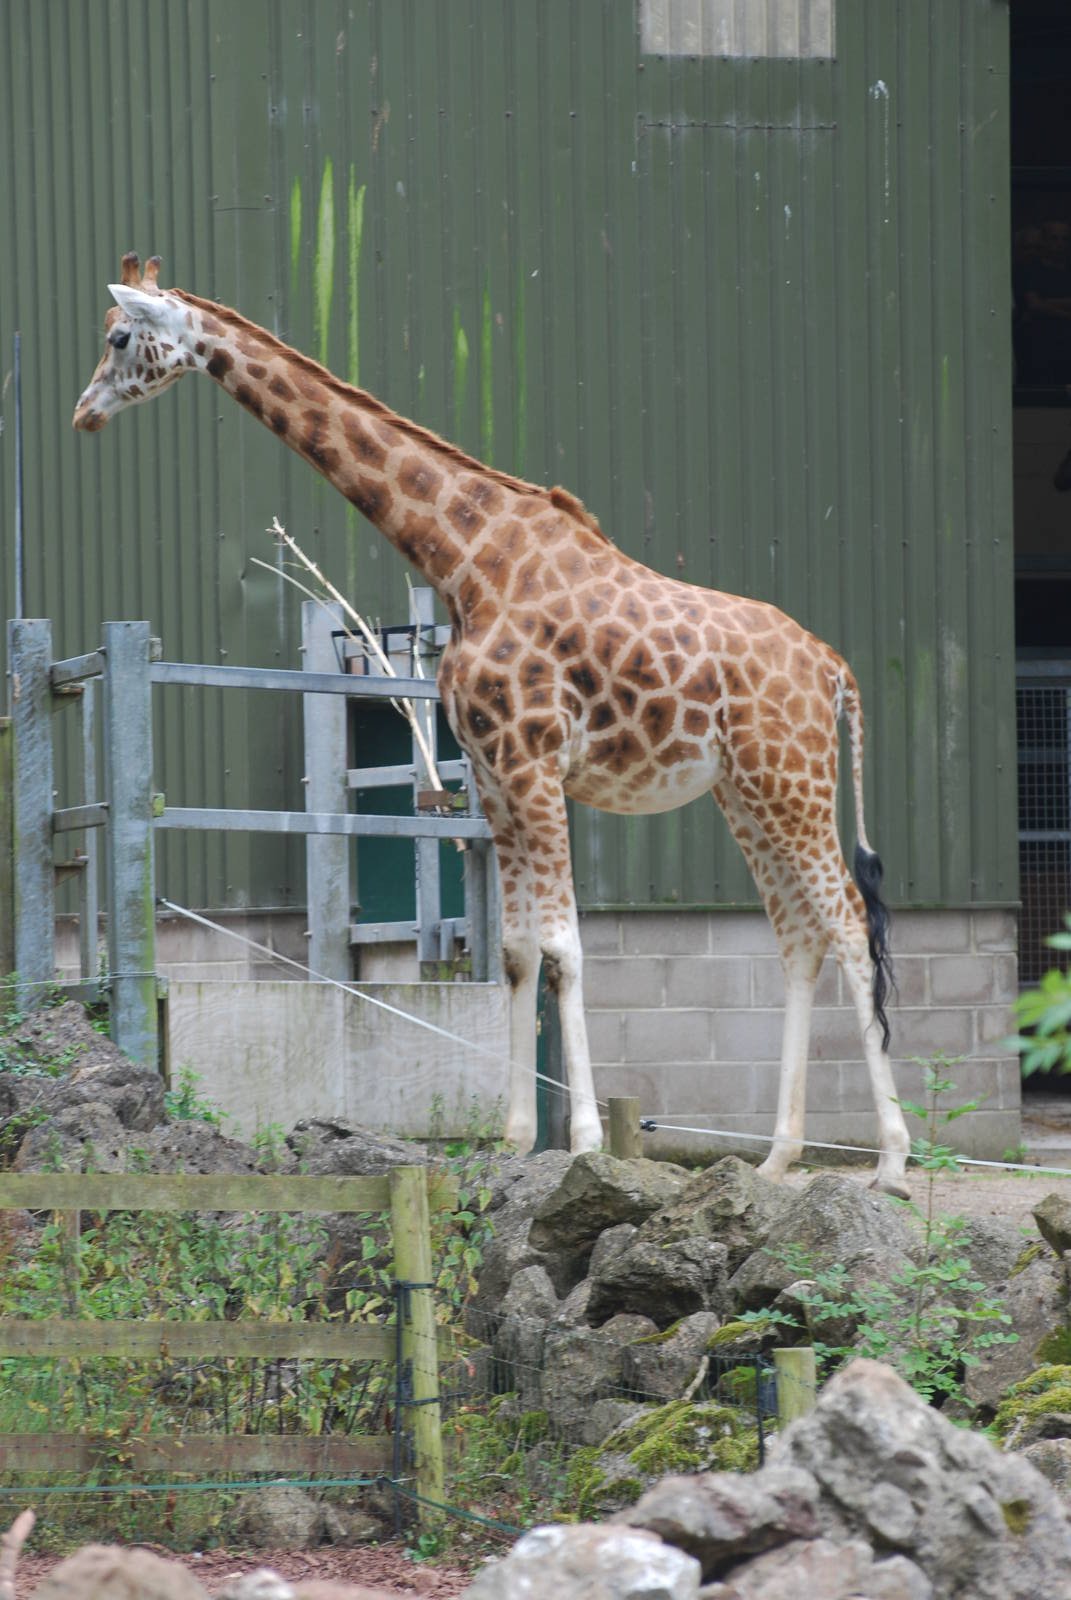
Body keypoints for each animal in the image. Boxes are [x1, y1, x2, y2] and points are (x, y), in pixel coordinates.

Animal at [73, 254, 912, 1196]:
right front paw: (512, 1141)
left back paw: (890, 1160)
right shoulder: (492, 773)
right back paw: (775, 1159)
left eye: (118, 337)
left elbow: (563, 948)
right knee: (799, 935)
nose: (82, 412)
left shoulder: (533, 762)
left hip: (789, 778)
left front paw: (582, 1139)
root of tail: (833, 670)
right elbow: (515, 952)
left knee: (848, 924)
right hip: (743, 790)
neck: (465, 562)